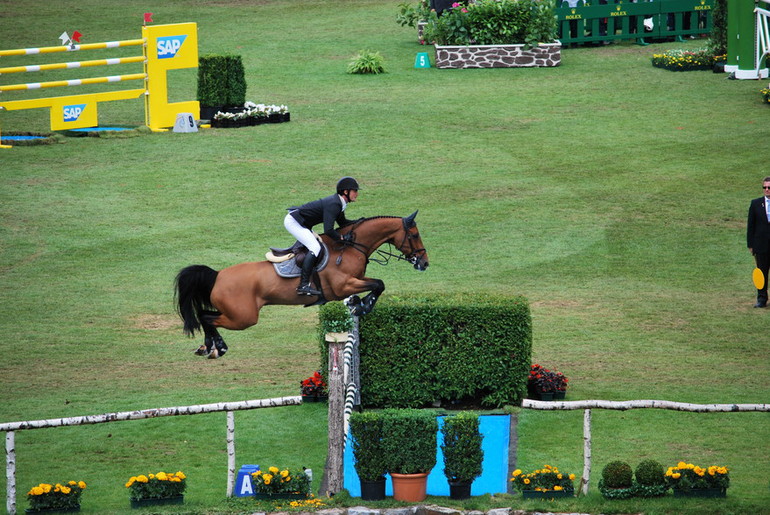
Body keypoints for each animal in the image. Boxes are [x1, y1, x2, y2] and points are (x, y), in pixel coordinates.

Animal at [172, 210, 426, 358]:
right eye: (414, 235)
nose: (424, 263)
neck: (350, 246)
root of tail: (217, 275)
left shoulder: (353, 283)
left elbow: (377, 284)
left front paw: (357, 304)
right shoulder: (343, 286)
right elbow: (378, 284)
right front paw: (362, 306)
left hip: (237, 314)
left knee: (204, 314)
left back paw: (209, 347)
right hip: (243, 317)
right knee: (207, 318)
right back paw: (217, 347)